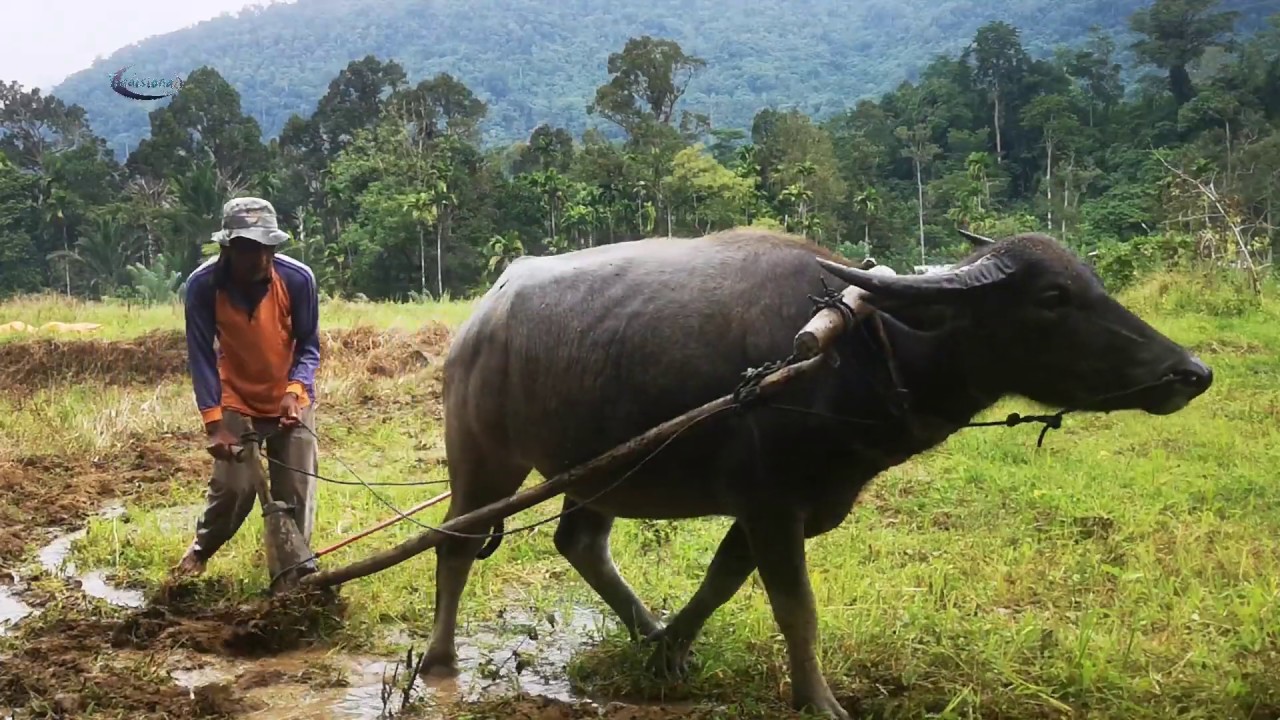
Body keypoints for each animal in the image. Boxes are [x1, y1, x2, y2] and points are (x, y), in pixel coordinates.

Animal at [424, 226, 1213, 712]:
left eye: (1095, 282)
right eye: (1052, 297)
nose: (1192, 372)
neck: (863, 349)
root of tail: (479, 320)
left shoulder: (783, 506)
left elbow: (722, 580)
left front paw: (671, 649)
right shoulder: (773, 504)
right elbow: (795, 608)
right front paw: (819, 700)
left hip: (598, 469)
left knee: (580, 544)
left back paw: (645, 629)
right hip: (484, 457)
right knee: (455, 545)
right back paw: (438, 662)